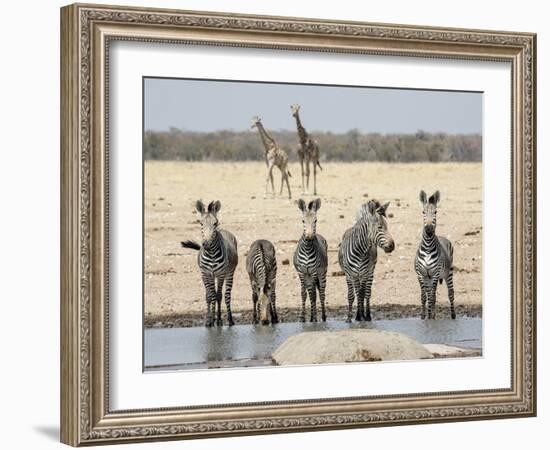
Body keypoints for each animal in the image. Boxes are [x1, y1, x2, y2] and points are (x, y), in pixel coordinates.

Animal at [416, 190, 460, 320]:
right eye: (423, 212)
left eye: (435, 212)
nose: (429, 229)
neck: (427, 247)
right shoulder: (422, 274)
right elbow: (425, 297)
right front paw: (424, 317)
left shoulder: (435, 273)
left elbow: (431, 298)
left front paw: (430, 318)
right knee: (432, 294)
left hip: (448, 272)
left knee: (450, 294)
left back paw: (453, 315)